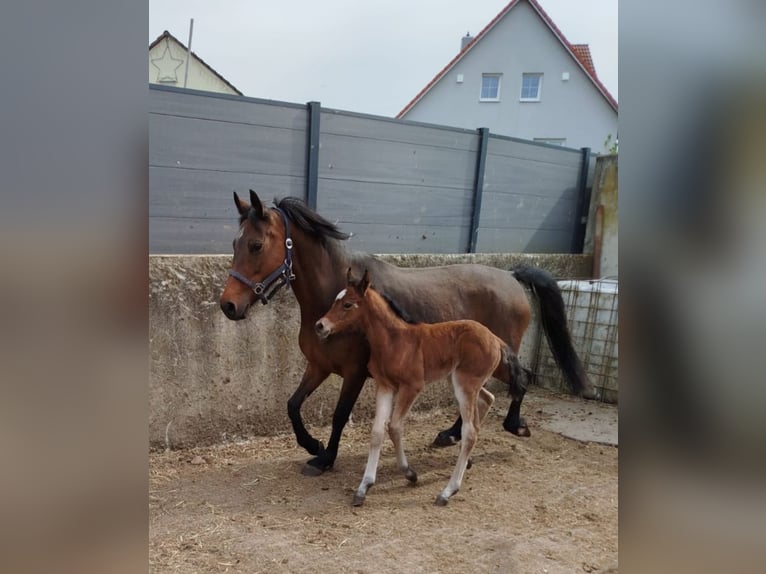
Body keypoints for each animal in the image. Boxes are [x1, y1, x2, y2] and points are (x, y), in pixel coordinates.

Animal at [220, 190, 589, 475]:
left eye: (255, 245)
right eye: (235, 242)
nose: (228, 306)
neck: (334, 295)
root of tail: (511, 276)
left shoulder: (354, 372)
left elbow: (339, 415)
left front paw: (325, 458)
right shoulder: (319, 366)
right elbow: (293, 405)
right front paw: (312, 444)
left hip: (499, 357)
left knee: (520, 378)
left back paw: (515, 426)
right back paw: (451, 435)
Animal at [315, 268, 525, 506]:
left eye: (348, 304)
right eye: (336, 300)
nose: (320, 326)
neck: (394, 341)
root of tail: (496, 339)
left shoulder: (411, 387)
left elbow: (394, 426)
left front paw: (409, 473)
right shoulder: (385, 386)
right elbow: (377, 431)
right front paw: (363, 487)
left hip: (465, 383)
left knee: (471, 431)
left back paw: (448, 491)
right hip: (461, 380)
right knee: (488, 399)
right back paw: (467, 462)